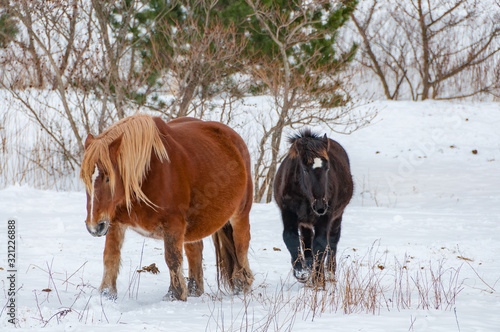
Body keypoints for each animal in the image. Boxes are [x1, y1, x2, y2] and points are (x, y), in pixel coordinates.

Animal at [82, 114, 256, 300]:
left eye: (108, 178)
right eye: (85, 178)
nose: (94, 227)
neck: (146, 175)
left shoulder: (173, 224)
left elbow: (172, 258)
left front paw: (175, 295)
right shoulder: (114, 223)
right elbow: (110, 256)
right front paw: (106, 294)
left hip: (240, 215)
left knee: (241, 246)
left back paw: (242, 284)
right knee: (195, 252)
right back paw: (194, 290)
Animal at [274, 128, 352, 284]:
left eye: (327, 168)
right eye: (305, 169)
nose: (320, 206)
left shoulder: (326, 216)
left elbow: (321, 244)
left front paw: (318, 278)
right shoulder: (288, 212)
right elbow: (291, 238)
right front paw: (301, 272)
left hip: (336, 216)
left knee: (332, 241)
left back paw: (329, 273)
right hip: (306, 222)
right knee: (307, 242)